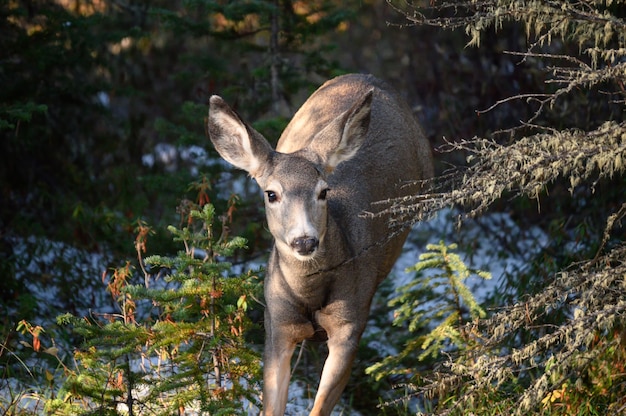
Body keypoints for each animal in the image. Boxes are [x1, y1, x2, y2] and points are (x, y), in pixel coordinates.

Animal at [207, 73, 432, 414]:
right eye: (271, 193)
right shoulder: (276, 324)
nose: (304, 240)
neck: (309, 294)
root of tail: (365, 76)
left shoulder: (350, 324)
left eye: (323, 191)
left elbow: (320, 405)